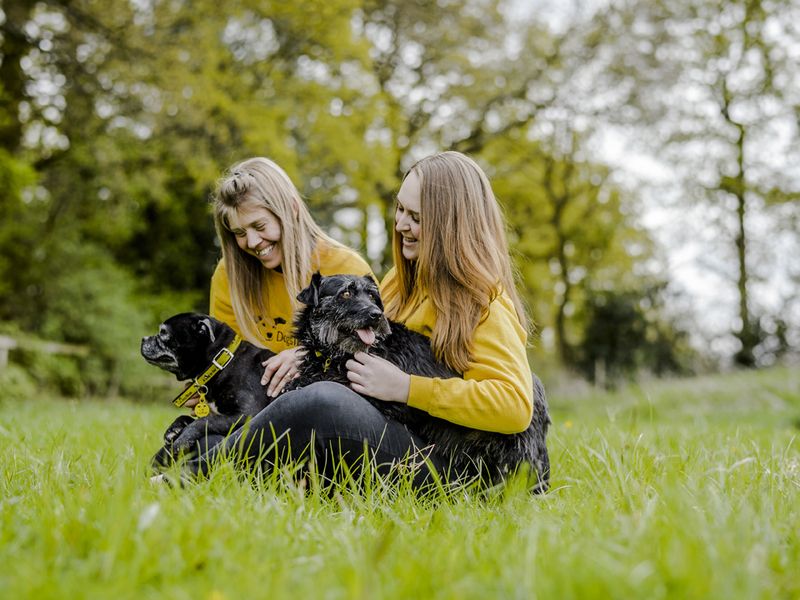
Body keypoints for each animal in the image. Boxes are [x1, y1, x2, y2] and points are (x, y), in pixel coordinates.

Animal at [288, 274, 552, 490]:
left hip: (519, 455)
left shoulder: (382, 398)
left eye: (372, 296)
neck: (335, 354)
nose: (376, 315)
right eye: (345, 293)